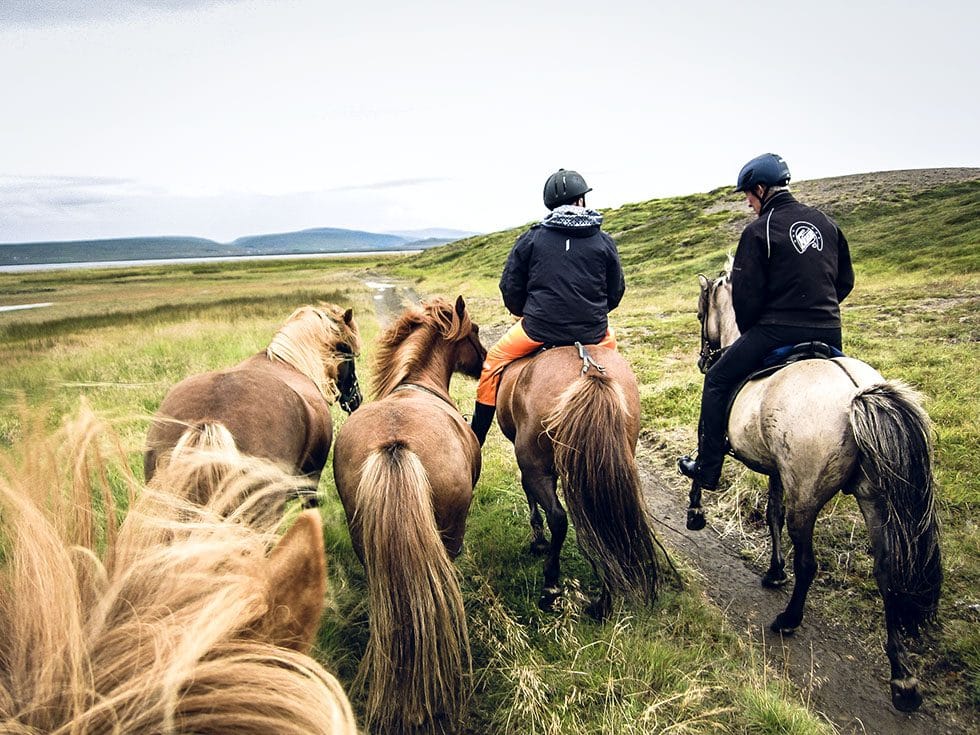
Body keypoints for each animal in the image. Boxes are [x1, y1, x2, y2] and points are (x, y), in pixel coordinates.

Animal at [498, 342, 668, 620]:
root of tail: (591, 372)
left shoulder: (529, 463)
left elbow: (530, 496)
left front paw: (538, 542)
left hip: (536, 466)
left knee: (558, 517)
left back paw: (551, 589)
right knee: (607, 523)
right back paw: (603, 604)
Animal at [688, 260, 940, 712]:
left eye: (701, 314)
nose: (704, 361)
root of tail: (856, 392)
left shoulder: (726, 438)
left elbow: (704, 458)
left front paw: (695, 508)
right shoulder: (776, 470)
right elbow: (770, 513)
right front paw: (773, 571)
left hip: (807, 497)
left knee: (809, 562)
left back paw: (789, 619)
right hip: (875, 499)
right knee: (887, 572)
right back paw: (902, 677)